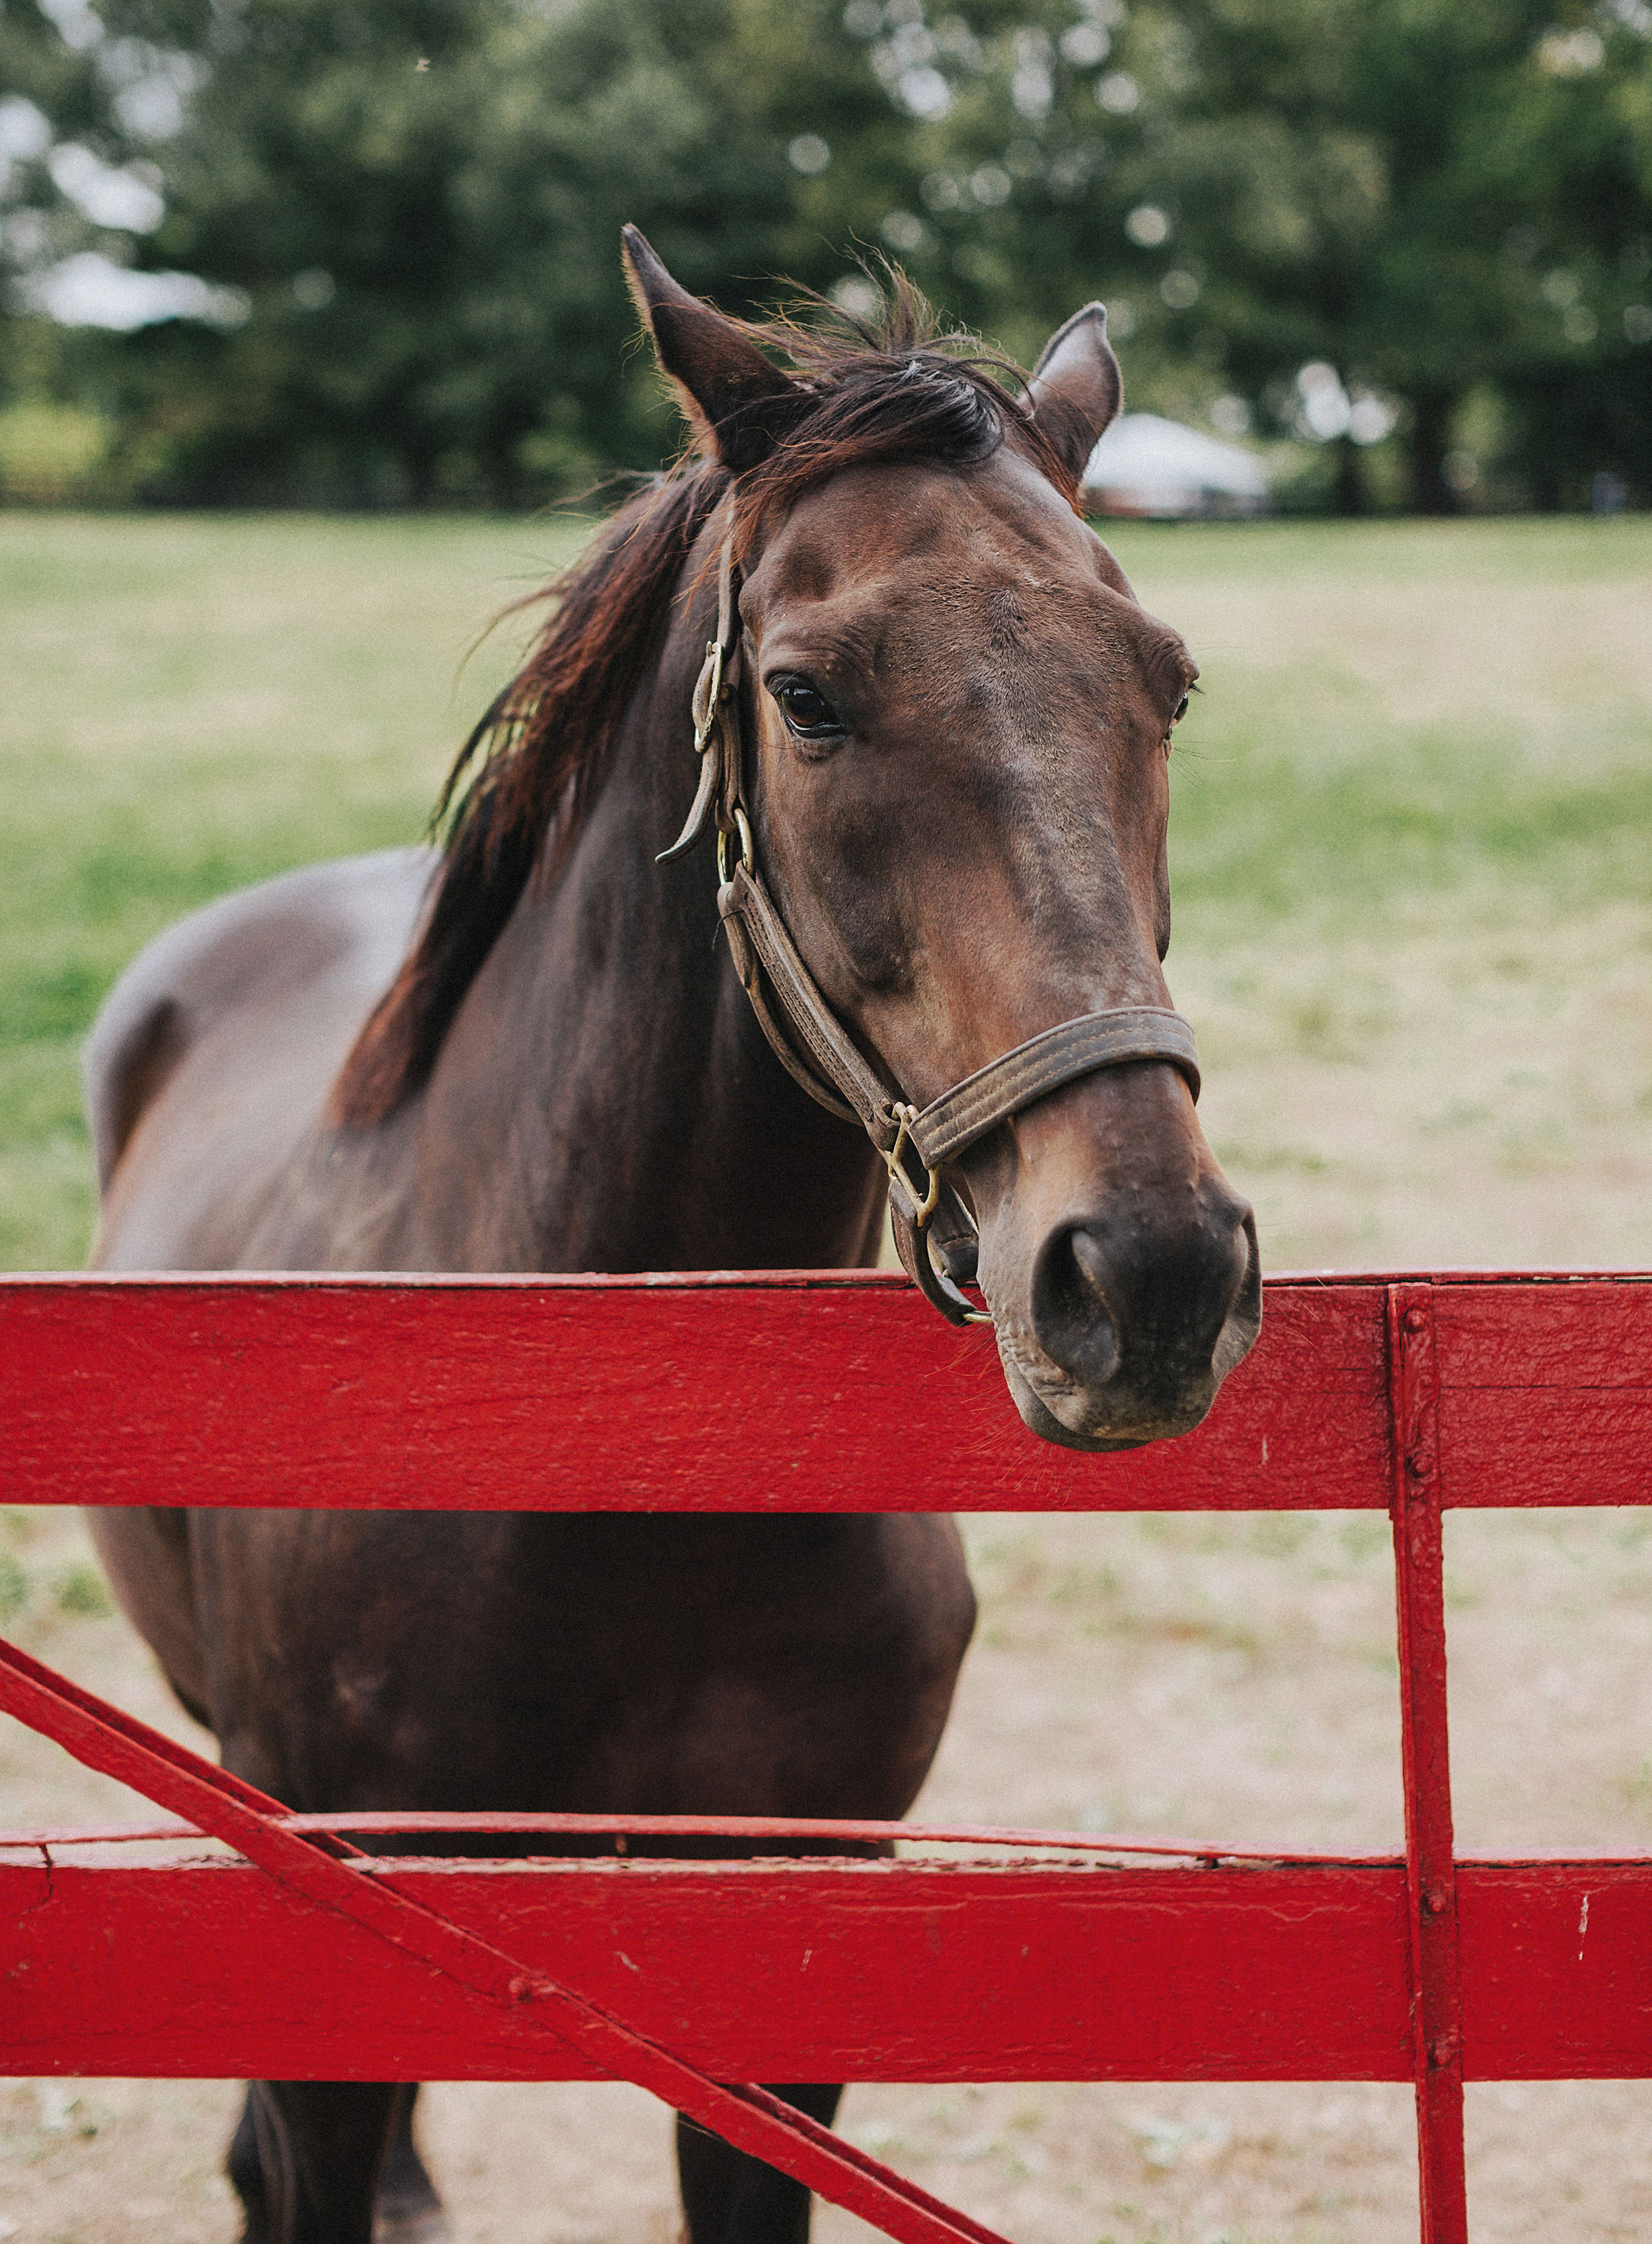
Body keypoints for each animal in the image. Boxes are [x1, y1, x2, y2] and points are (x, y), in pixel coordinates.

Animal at [84, 232, 1257, 2244]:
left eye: (1162, 684)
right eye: (806, 695)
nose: (1148, 1275)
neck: (634, 1434)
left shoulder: (780, 1991)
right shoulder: (328, 1949)